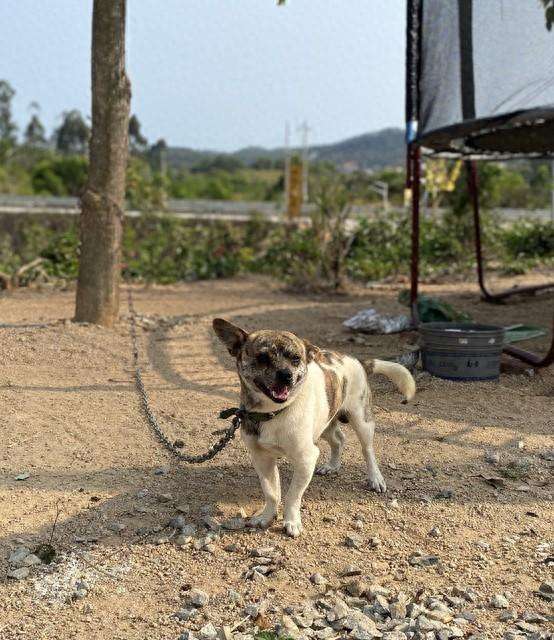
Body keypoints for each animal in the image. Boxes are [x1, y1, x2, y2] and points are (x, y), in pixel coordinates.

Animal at [211, 318, 414, 536]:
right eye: (262, 357)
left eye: (296, 359)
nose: (286, 375)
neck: (274, 413)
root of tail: (356, 361)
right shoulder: (262, 459)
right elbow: (272, 493)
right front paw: (266, 517)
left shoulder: (306, 459)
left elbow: (292, 495)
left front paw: (291, 522)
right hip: (325, 423)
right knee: (338, 439)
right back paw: (332, 466)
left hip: (362, 420)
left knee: (367, 450)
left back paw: (375, 478)